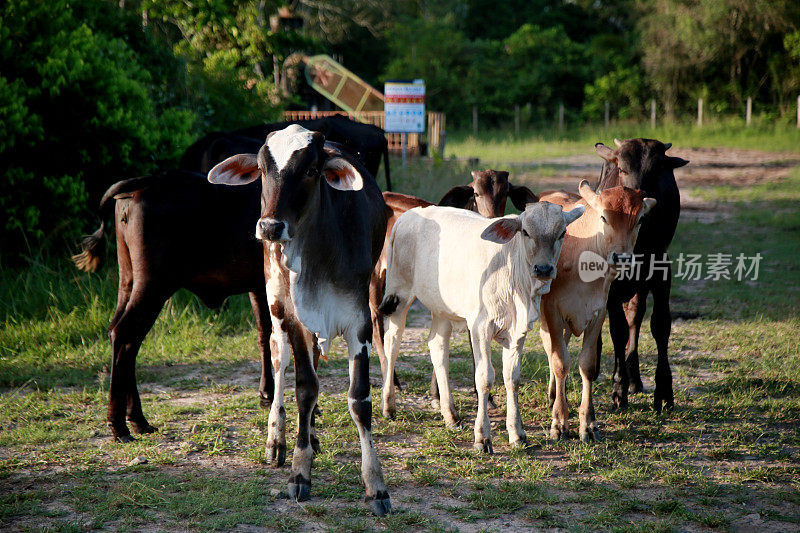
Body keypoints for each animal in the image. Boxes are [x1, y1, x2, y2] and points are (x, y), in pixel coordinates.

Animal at [72, 170, 272, 440]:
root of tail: (150, 180)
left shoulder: (258, 286)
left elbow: (265, 335)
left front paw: (267, 396)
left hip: (128, 281)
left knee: (121, 337)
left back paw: (137, 420)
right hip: (154, 286)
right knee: (125, 335)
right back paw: (120, 426)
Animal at [208, 124, 392, 516]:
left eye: (310, 170)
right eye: (263, 170)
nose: (270, 227)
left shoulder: (358, 323)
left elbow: (359, 399)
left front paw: (375, 485)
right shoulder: (293, 316)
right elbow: (304, 388)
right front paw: (299, 471)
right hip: (275, 302)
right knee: (279, 362)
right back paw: (277, 438)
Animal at [592, 138, 688, 412]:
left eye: (657, 172)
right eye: (622, 169)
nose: (635, 203)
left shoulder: (661, 268)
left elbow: (660, 324)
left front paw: (664, 391)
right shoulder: (612, 282)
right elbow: (617, 330)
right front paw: (618, 389)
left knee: (635, 315)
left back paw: (634, 378)